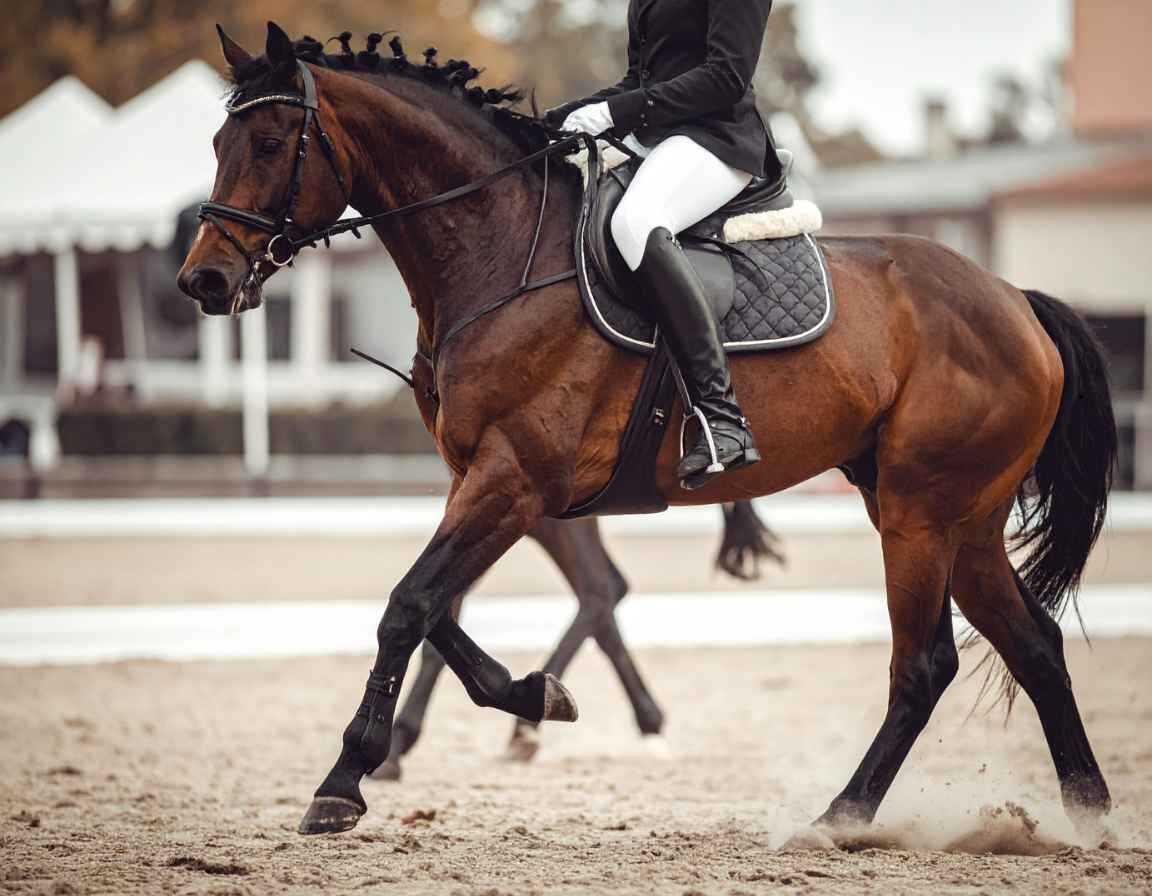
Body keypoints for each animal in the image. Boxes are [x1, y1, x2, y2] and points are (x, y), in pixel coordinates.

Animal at [178, 24, 1117, 839]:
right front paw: (536, 696)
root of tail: (1015, 299)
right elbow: (428, 604)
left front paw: (344, 781)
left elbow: (409, 604)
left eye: (272, 144)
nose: (203, 281)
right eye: (219, 143)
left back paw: (840, 819)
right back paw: (1089, 815)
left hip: (921, 514)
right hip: (955, 516)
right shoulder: (478, 479)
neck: (499, 250)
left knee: (924, 666)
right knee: (1034, 645)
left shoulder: (516, 481)